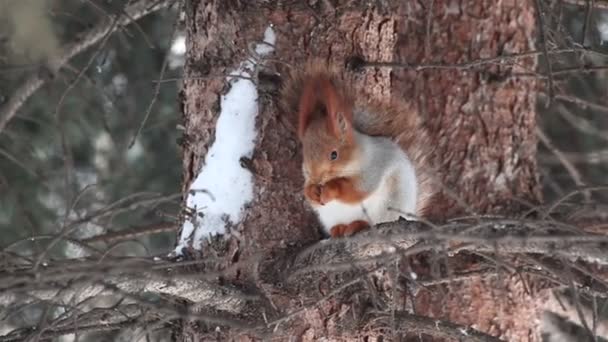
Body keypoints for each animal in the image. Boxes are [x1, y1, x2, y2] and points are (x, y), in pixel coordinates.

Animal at [282, 60, 436, 238]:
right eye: (305, 155)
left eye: (334, 154)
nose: (317, 178)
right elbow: (311, 197)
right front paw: (312, 191)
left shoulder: (374, 165)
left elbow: (357, 191)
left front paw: (331, 188)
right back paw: (339, 229)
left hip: (388, 208)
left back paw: (359, 225)